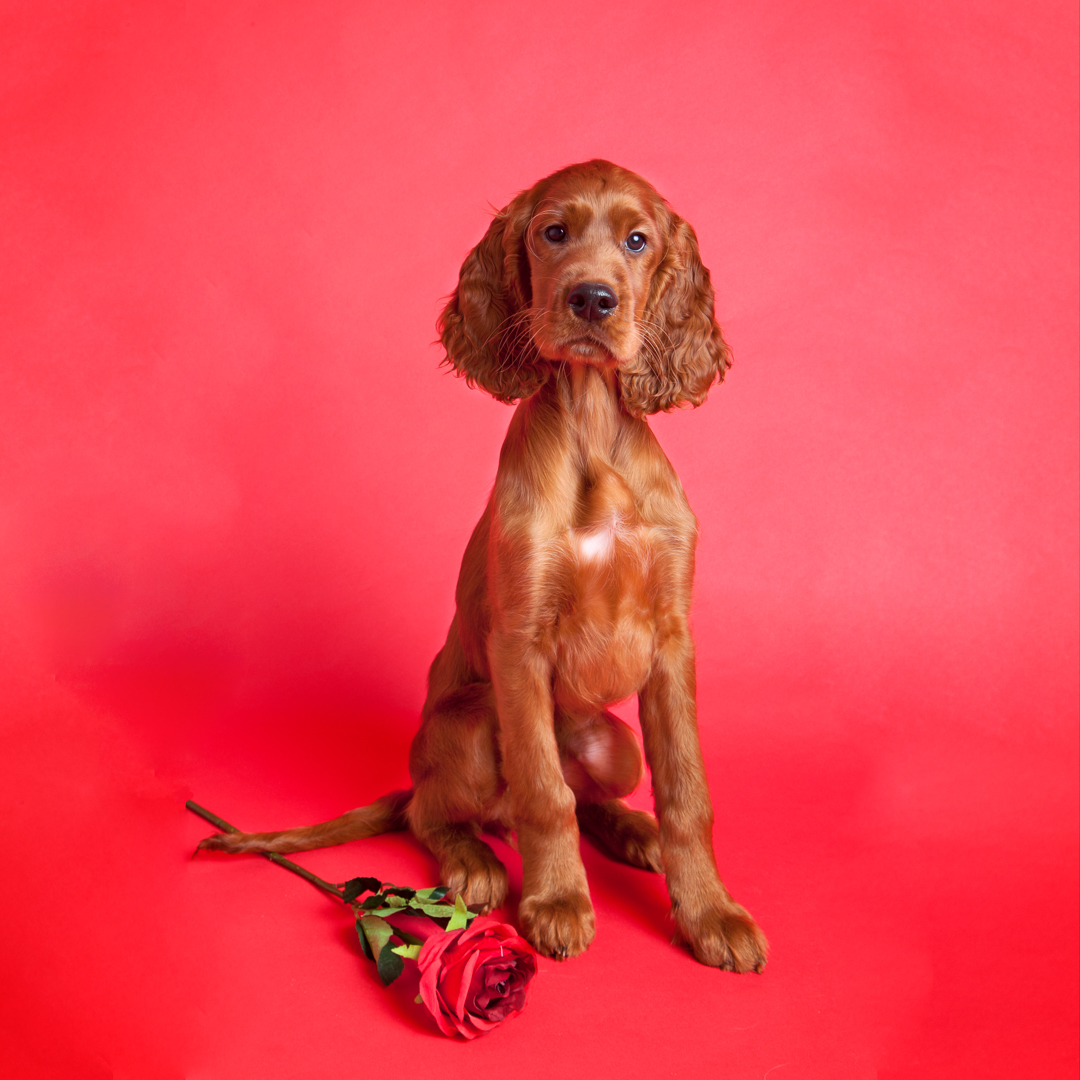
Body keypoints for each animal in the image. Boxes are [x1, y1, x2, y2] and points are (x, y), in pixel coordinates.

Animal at [200, 164, 768, 976]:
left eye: (638, 241)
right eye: (553, 232)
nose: (593, 299)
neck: (592, 421)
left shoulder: (672, 640)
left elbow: (688, 793)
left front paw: (712, 912)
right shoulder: (518, 641)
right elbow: (543, 793)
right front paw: (558, 902)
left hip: (615, 745)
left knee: (591, 796)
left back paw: (635, 831)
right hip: (467, 727)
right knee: (435, 812)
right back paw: (473, 861)